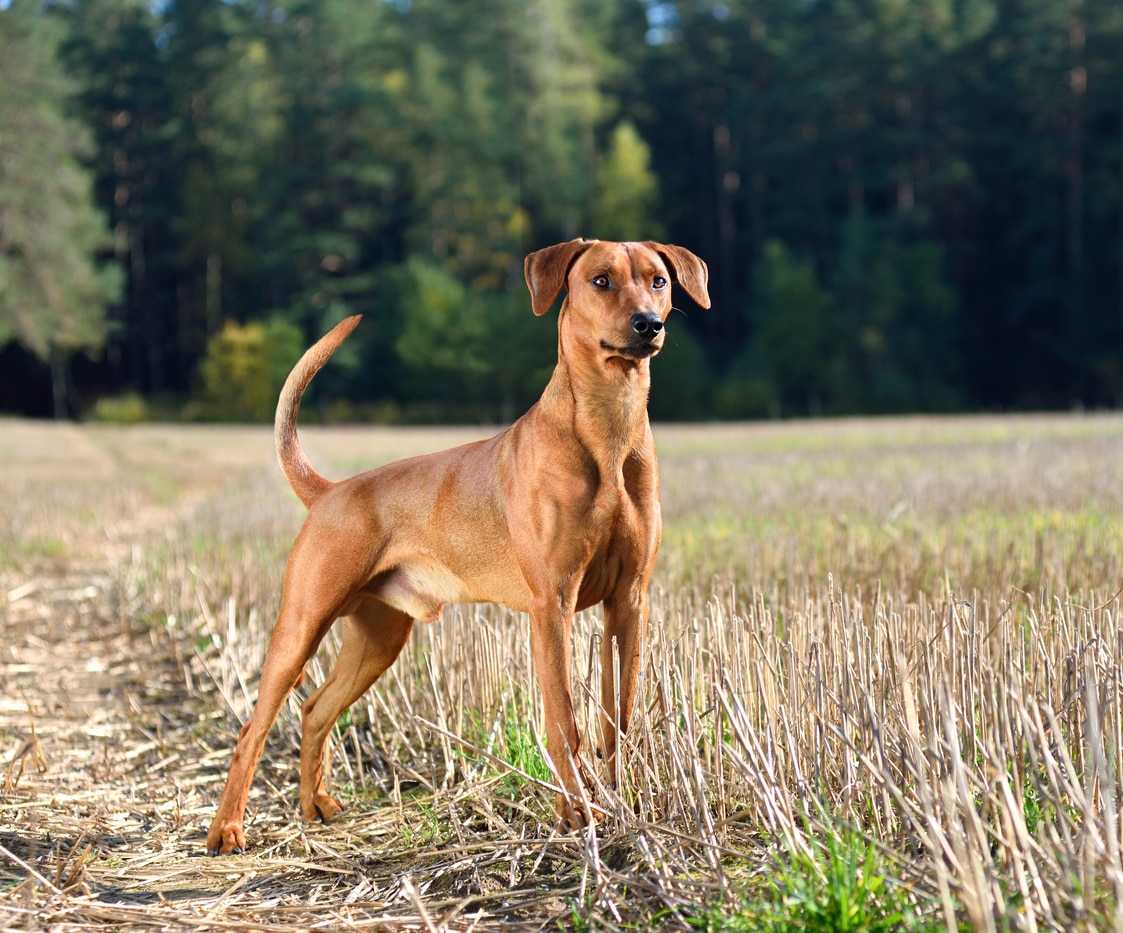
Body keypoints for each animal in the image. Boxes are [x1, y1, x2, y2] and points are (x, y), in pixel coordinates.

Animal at [205, 239, 705, 853]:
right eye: (601, 281)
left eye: (658, 281)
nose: (648, 324)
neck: (608, 428)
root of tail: (330, 491)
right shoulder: (552, 605)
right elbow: (563, 721)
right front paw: (578, 816)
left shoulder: (629, 600)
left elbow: (619, 717)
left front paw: (624, 804)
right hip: (302, 620)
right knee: (254, 726)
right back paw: (227, 829)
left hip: (377, 638)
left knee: (316, 709)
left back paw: (315, 805)